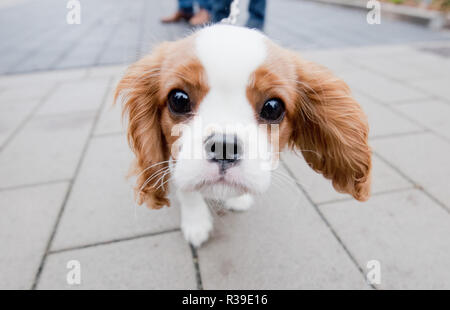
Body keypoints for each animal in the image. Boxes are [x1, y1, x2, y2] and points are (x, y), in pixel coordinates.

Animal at [116, 24, 372, 247]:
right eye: (178, 99)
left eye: (273, 107)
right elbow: (186, 189)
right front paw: (196, 223)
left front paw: (237, 199)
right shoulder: (175, 158)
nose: (224, 147)